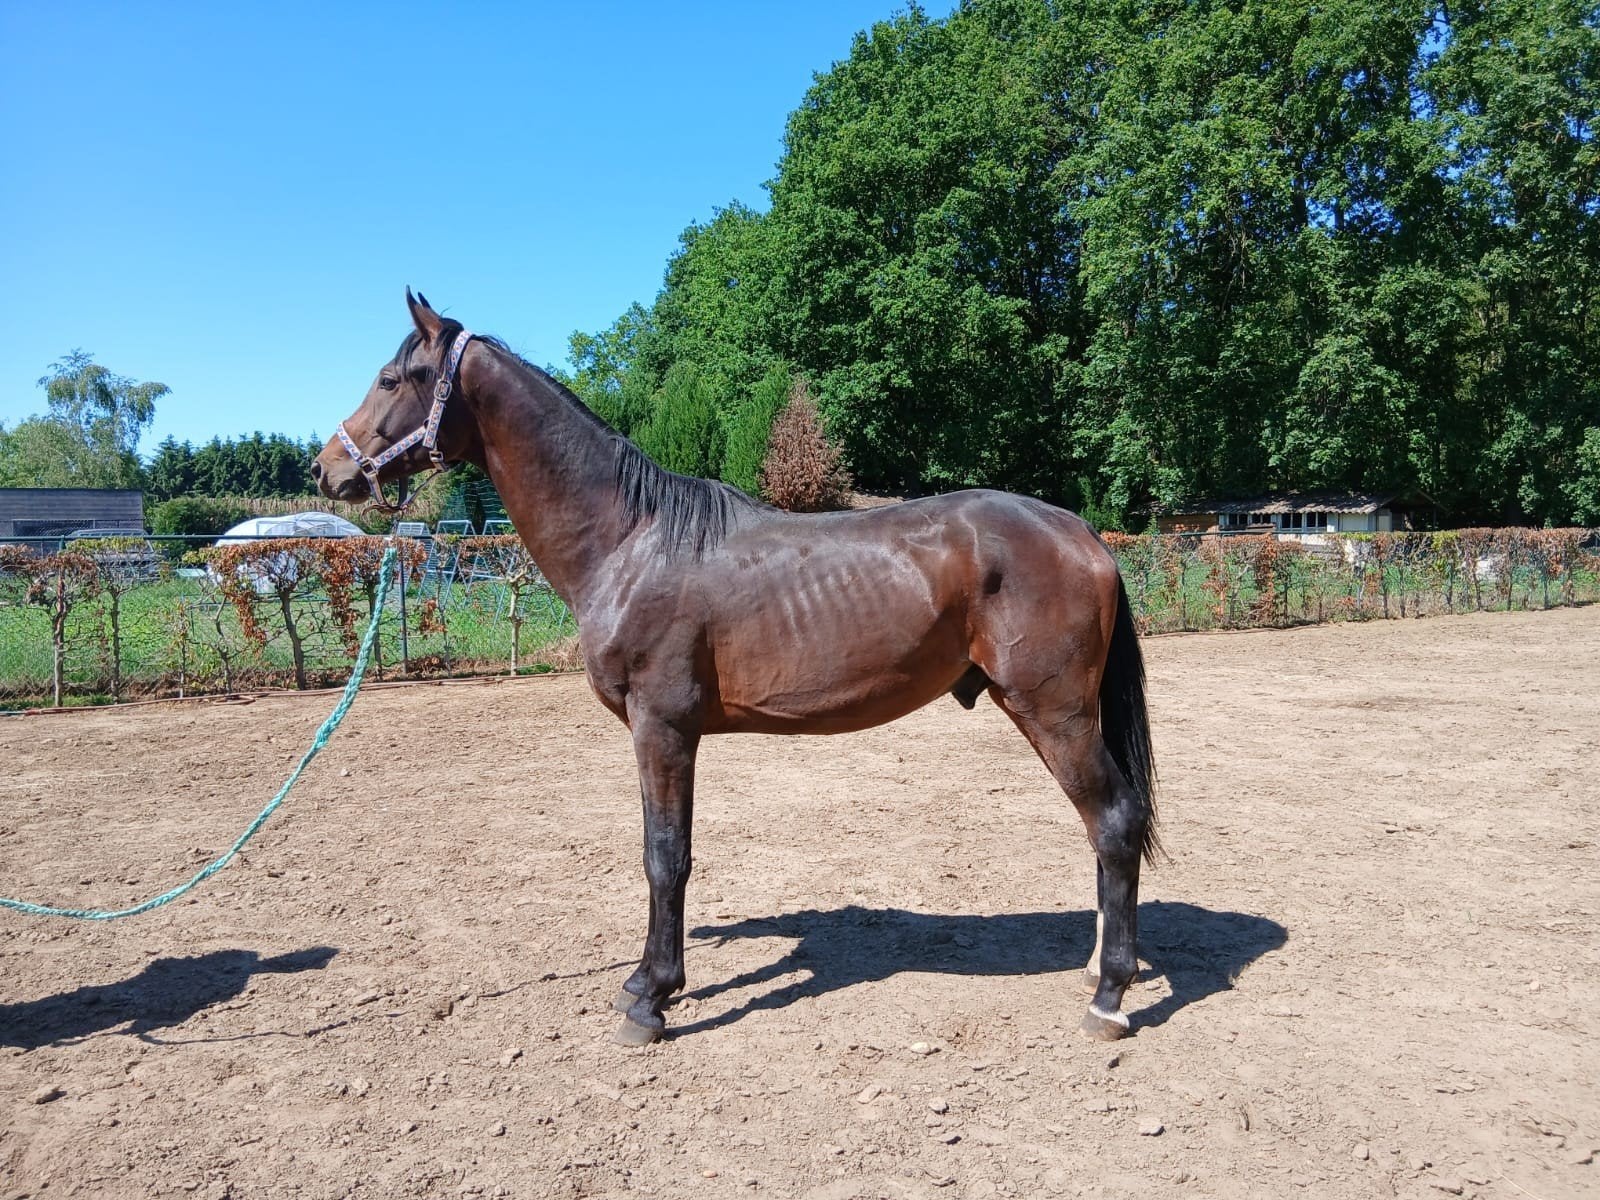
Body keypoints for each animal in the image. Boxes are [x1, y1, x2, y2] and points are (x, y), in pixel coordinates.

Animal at [313, 291, 1160, 1046]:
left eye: (393, 378)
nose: (327, 470)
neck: (631, 538)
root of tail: (1082, 533)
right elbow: (659, 852)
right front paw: (645, 981)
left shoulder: (662, 728)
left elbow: (666, 858)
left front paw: (652, 1000)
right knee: (1104, 829)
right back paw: (1097, 967)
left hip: (1055, 713)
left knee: (1115, 822)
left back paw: (1110, 1000)